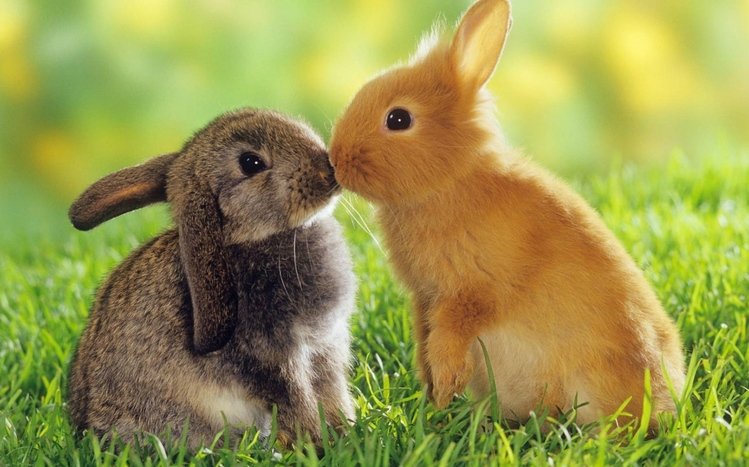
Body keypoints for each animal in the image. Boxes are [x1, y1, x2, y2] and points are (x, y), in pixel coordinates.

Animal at [67, 108, 356, 449]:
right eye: (251, 163)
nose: (328, 172)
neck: (245, 238)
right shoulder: (274, 357)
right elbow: (297, 400)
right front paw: (318, 443)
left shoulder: (325, 348)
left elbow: (332, 393)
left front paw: (347, 432)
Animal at [329, 0, 685, 430]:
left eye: (398, 119)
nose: (335, 160)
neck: (451, 181)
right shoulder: (425, 299)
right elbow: (424, 342)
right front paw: (432, 398)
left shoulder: (471, 294)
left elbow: (448, 341)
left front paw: (444, 392)